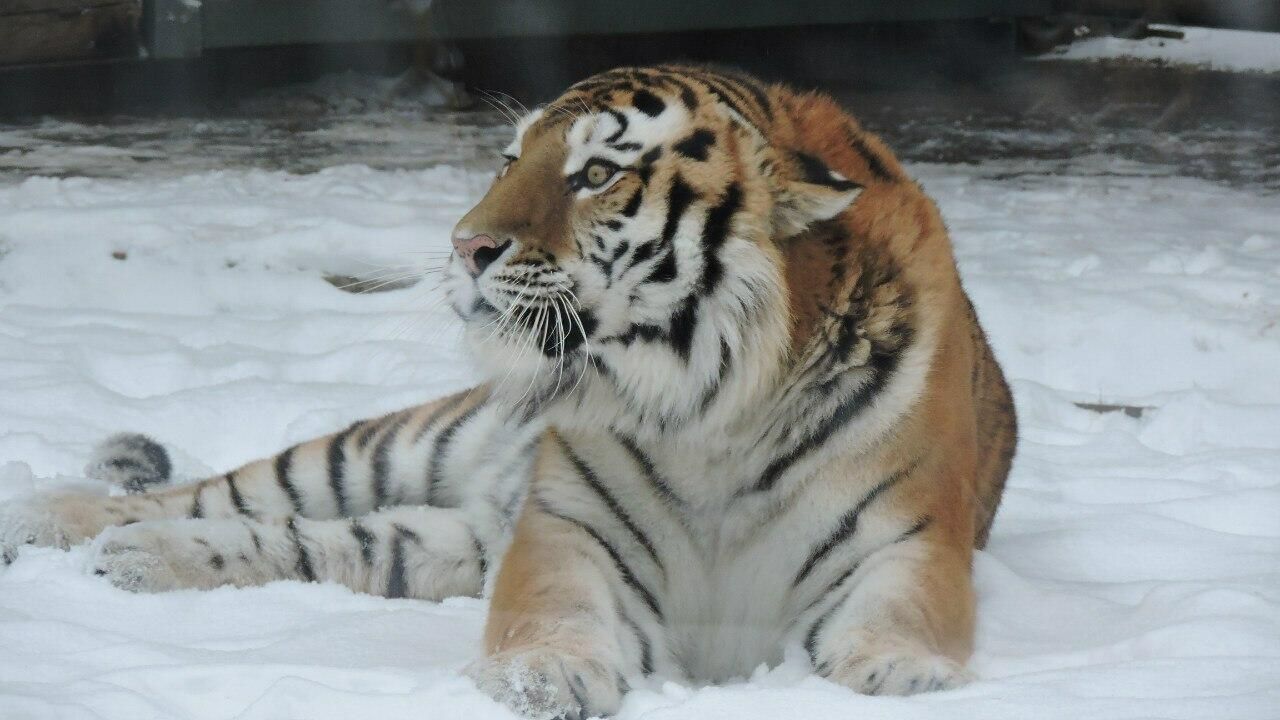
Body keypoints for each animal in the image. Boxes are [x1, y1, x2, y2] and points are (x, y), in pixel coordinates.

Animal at [0, 64, 1016, 718]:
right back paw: (57, 519)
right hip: (393, 451)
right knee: (226, 492)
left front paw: (899, 677)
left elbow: (899, 613)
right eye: (507, 160)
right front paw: (544, 679)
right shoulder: (565, 529)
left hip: (440, 542)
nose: (464, 247)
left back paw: (136, 559)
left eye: (598, 173)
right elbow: (554, 613)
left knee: (305, 541)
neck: (711, 408)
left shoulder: (910, 538)